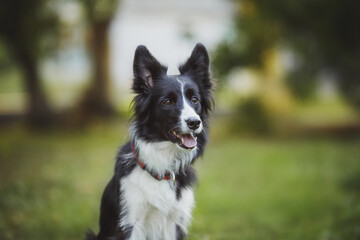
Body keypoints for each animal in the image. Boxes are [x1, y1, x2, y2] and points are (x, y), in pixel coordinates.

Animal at [87, 43, 214, 240]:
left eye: (195, 100)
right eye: (167, 101)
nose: (194, 122)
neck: (164, 165)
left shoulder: (174, 223)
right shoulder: (131, 223)